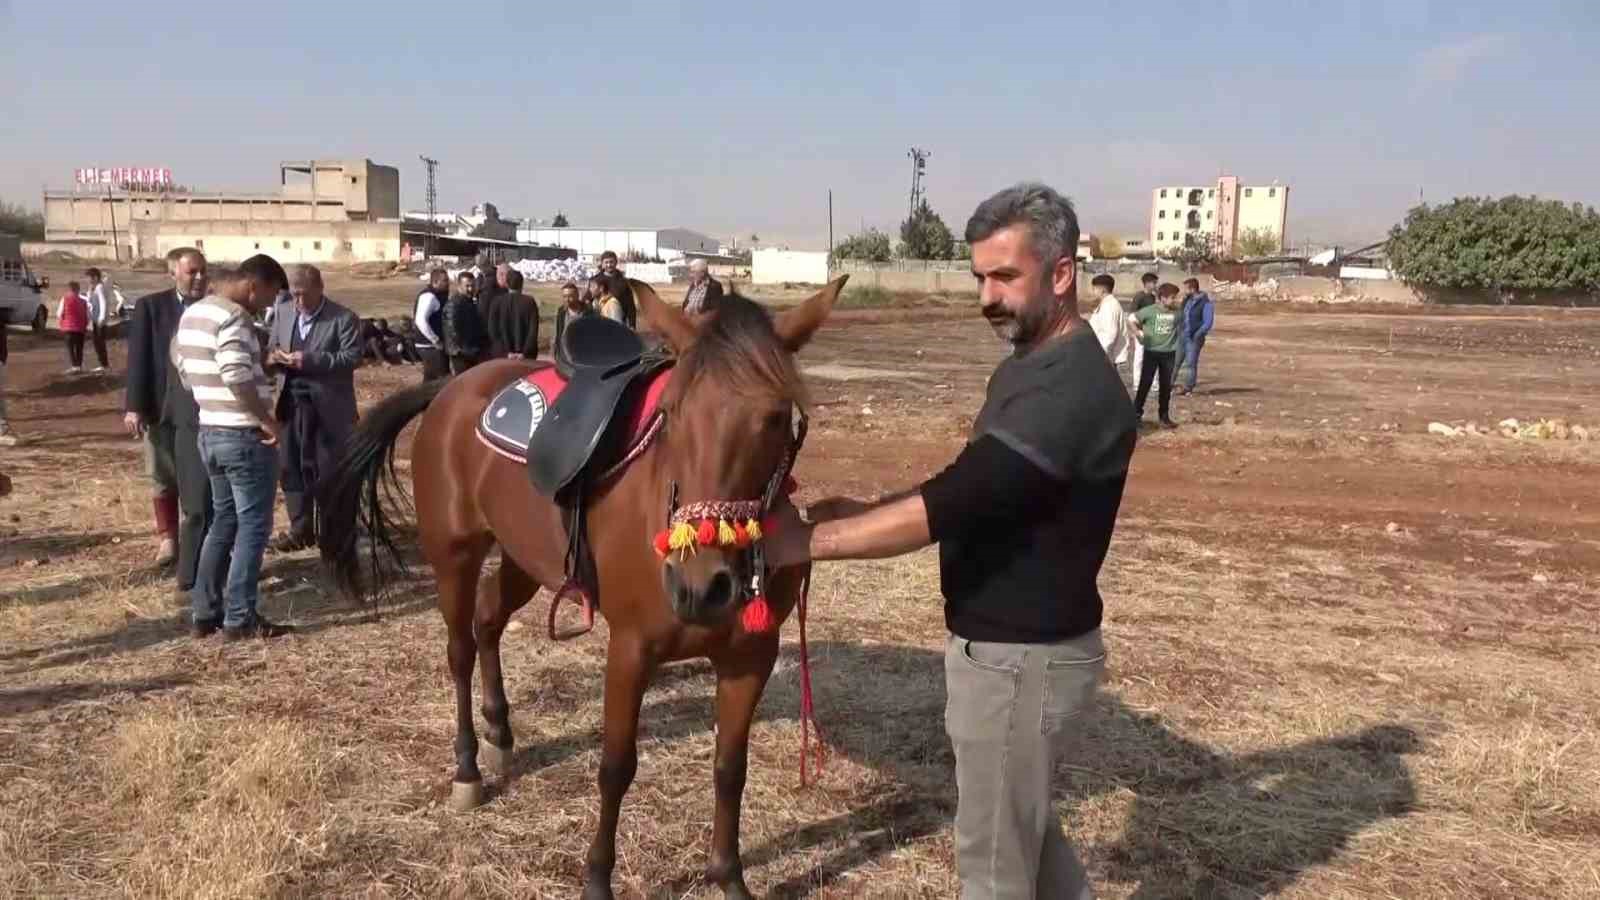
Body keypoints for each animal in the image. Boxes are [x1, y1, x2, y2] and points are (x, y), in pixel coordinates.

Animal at [321, 277, 851, 890]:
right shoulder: (630, 650)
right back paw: (468, 768)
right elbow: (616, 767)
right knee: (458, 651)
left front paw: (728, 877)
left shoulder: (750, 658)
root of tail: (452, 386)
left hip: (524, 557)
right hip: (453, 555)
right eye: (670, 412)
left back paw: (501, 735)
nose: (700, 586)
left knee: (487, 620)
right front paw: (597, 878)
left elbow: (729, 768)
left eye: (775, 418)